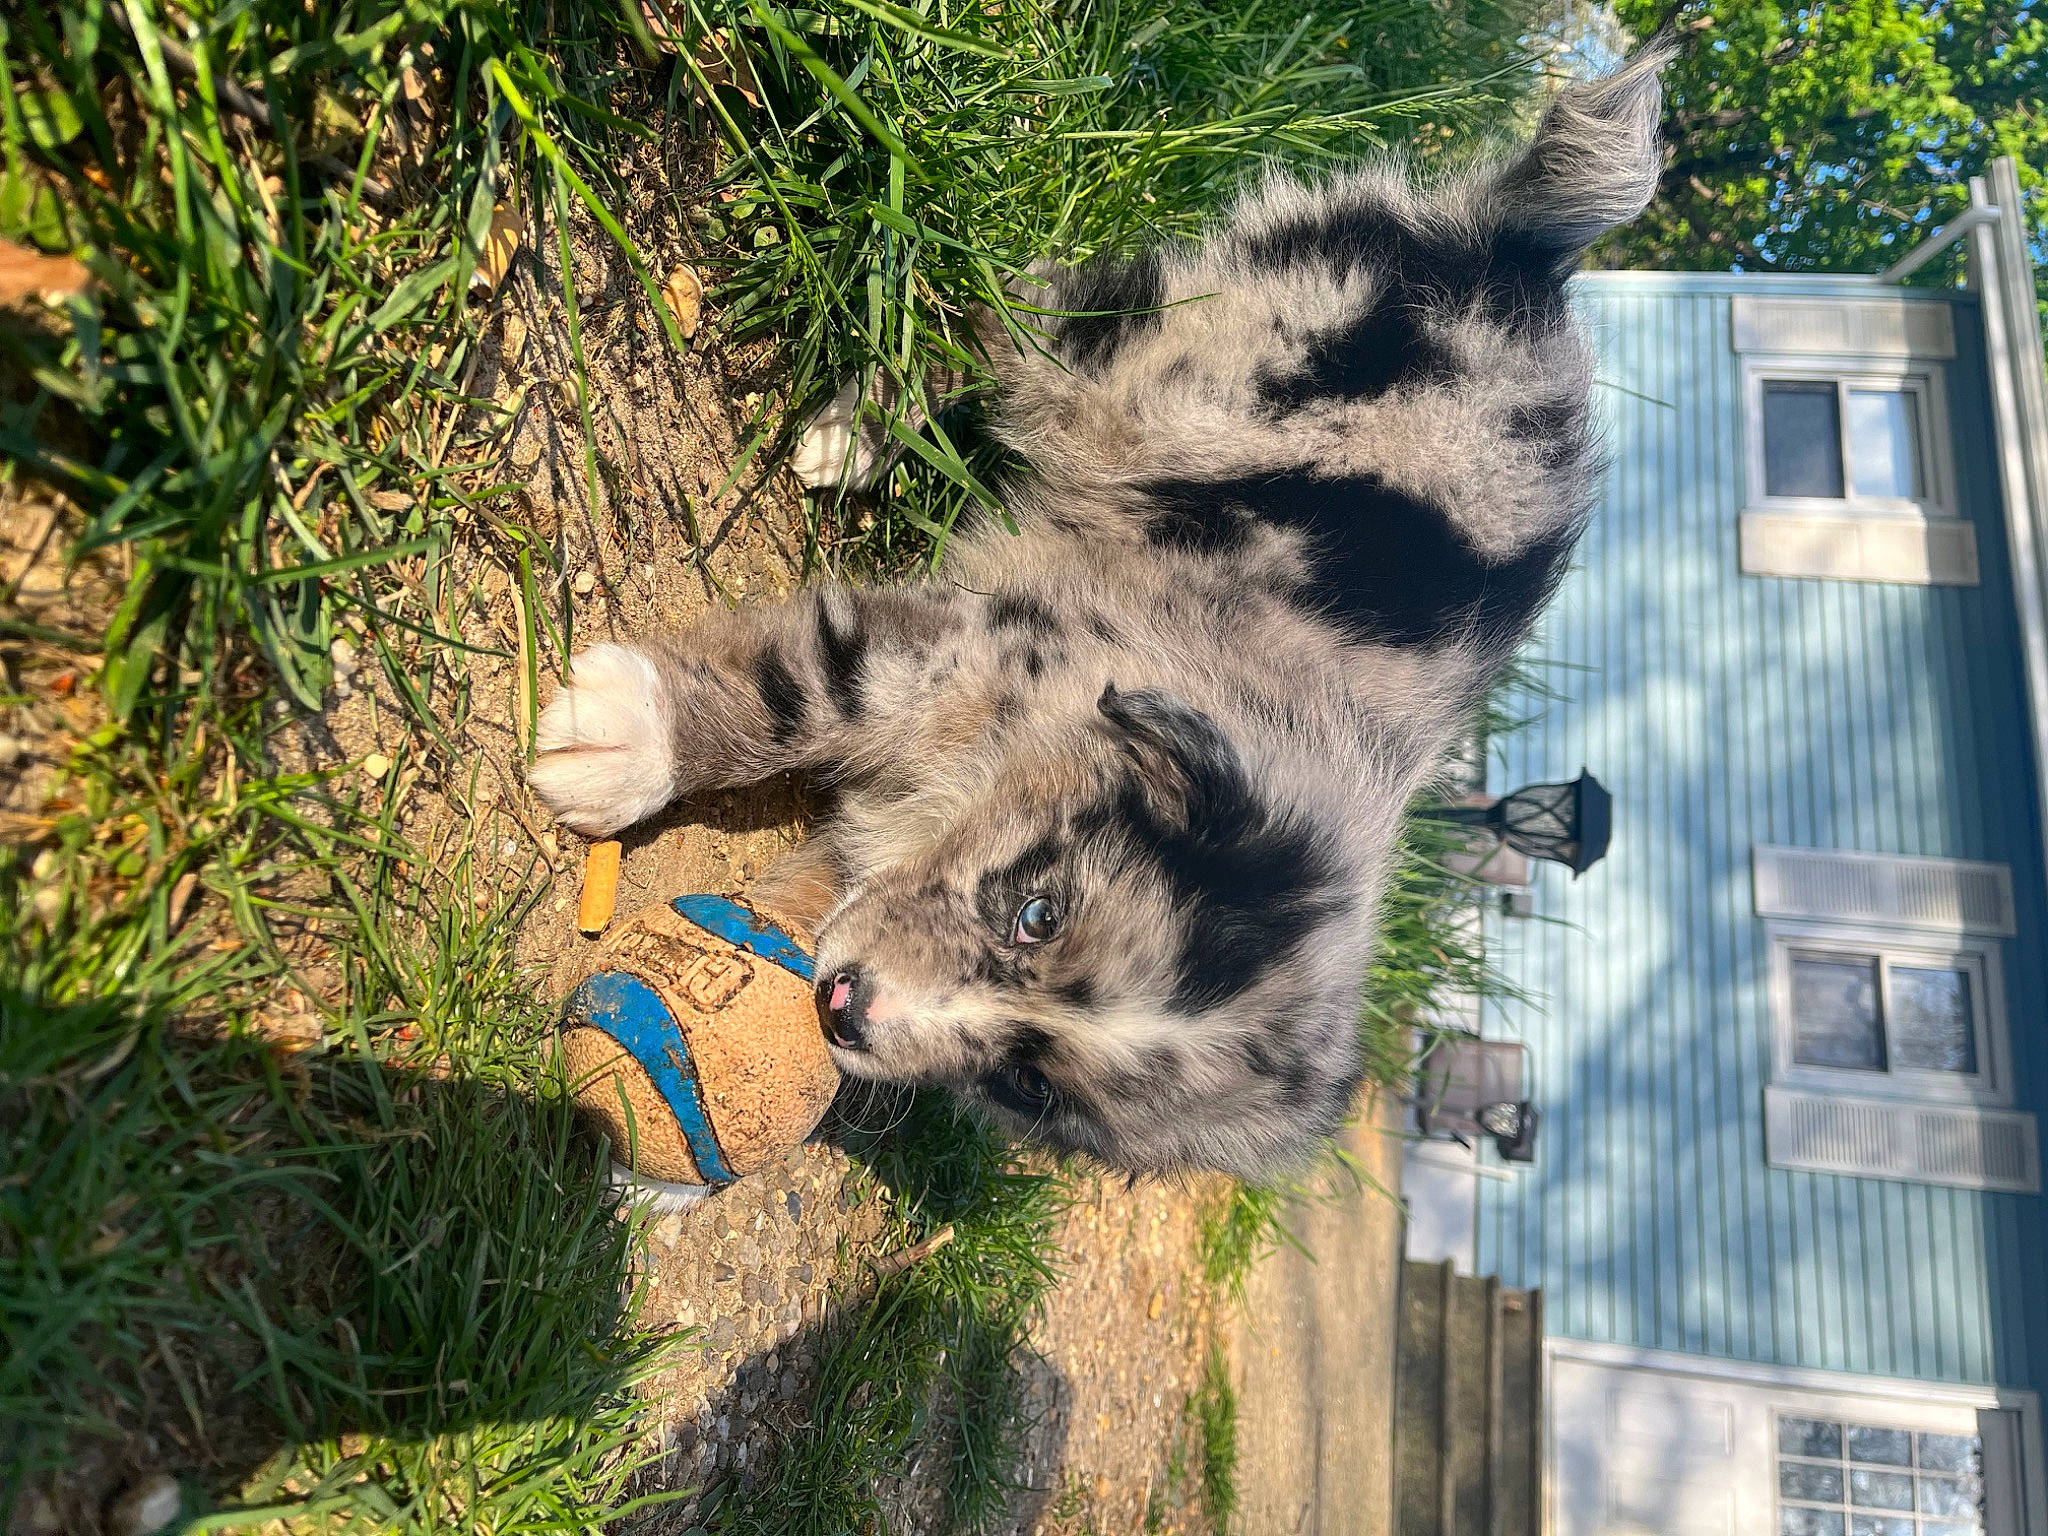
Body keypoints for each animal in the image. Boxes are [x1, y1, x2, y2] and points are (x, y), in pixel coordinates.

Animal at [527, 45, 1670, 1179]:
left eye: (1026, 1082)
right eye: (1039, 912)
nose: (844, 1012)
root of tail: (1527, 257)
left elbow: (826, 878)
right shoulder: (983, 650)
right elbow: (794, 692)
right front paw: (627, 742)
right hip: (1172, 372)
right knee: (1003, 299)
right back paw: (861, 425)